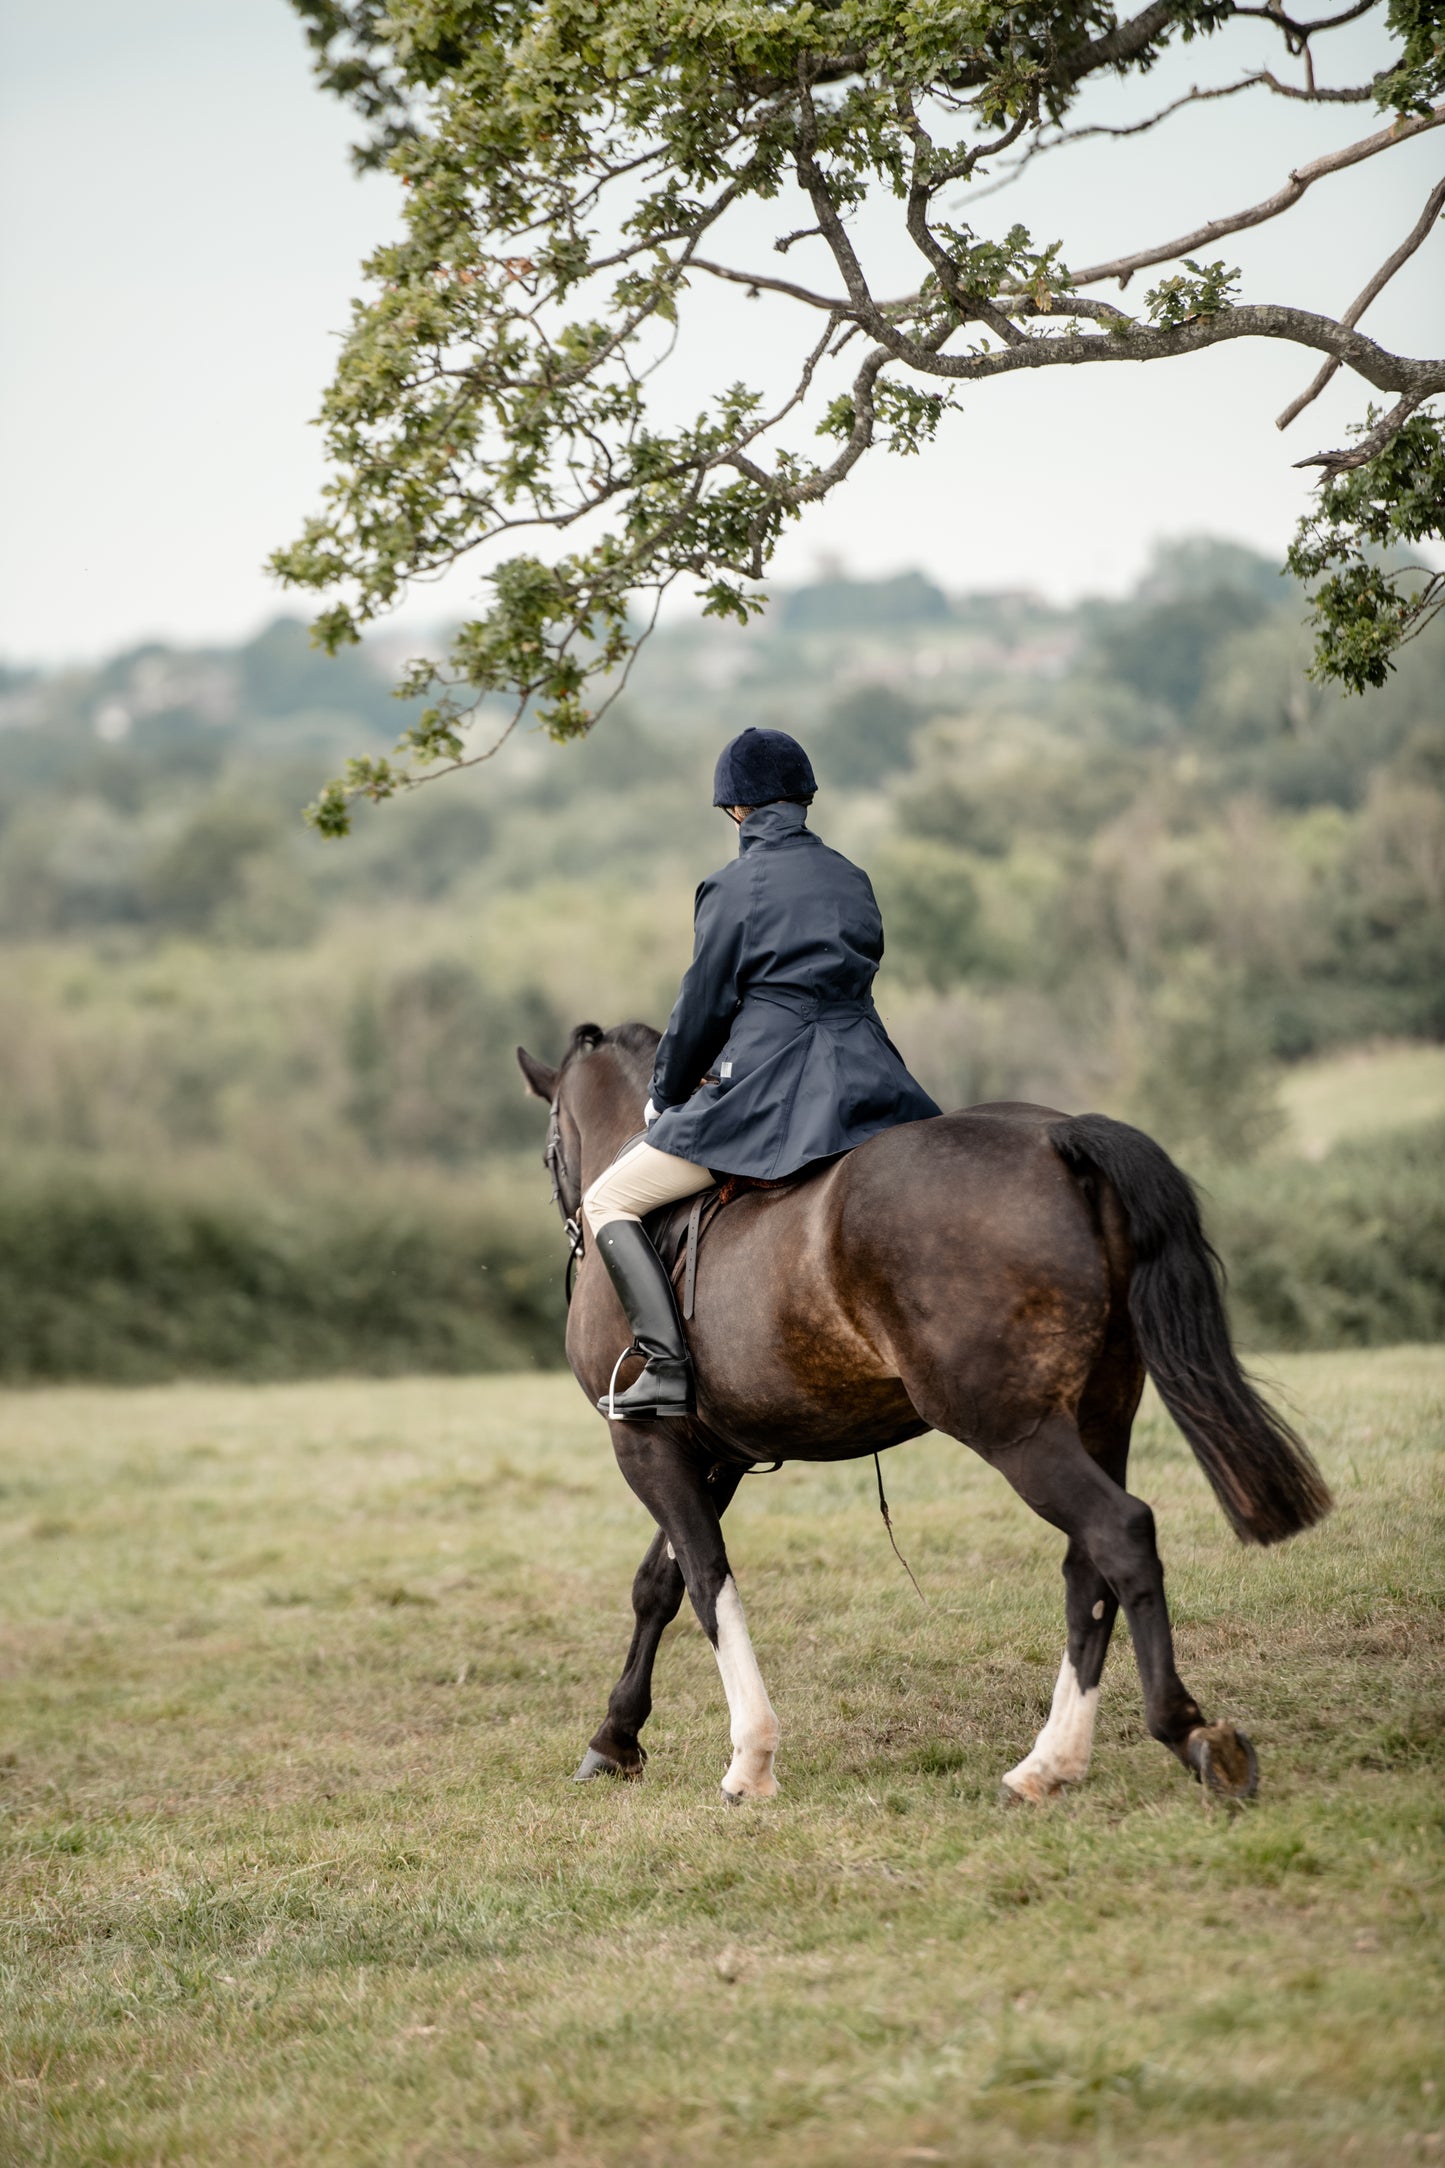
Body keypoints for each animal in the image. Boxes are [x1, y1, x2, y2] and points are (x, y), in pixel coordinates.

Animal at [517, 1023, 1334, 1803]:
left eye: (550, 1146)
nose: (570, 1231)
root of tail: (1057, 1138)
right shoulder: (716, 1453)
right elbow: (658, 1585)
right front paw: (615, 1739)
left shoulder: (645, 1443)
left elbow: (704, 1579)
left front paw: (750, 1759)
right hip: (1100, 1415)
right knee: (1088, 1565)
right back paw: (1049, 1763)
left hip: (1013, 1429)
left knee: (1121, 1534)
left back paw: (1186, 1735)